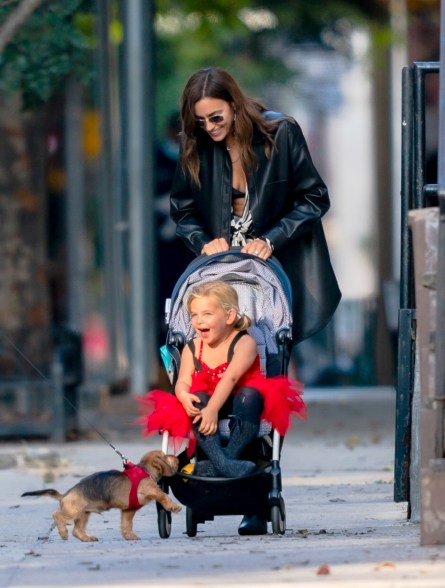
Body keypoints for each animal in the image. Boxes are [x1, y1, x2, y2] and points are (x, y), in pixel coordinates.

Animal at [21, 450, 181, 544]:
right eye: (166, 456)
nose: (176, 458)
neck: (145, 470)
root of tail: (66, 494)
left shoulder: (128, 511)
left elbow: (126, 524)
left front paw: (129, 536)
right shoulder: (150, 489)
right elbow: (163, 495)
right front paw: (174, 507)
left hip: (84, 514)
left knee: (76, 530)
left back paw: (87, 538)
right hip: (73, 511)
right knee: (57, 515)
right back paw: (63, 532)